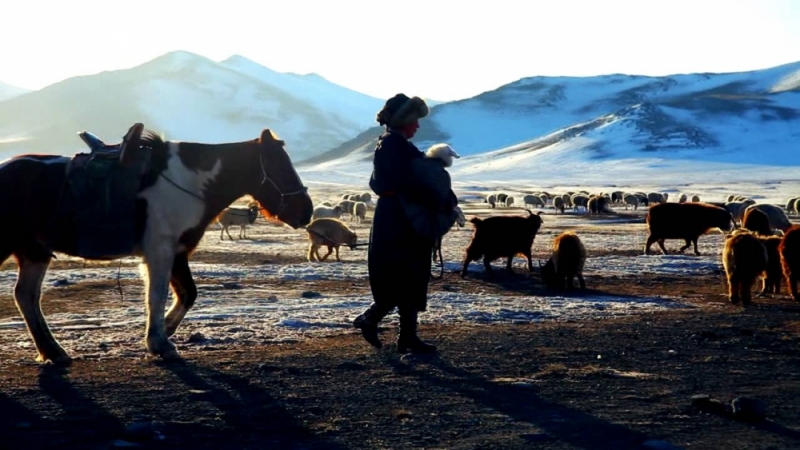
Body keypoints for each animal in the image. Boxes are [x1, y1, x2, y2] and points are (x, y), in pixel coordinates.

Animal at [0, 125, 312, 364]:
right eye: (280, 167)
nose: (306, 211)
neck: (189, 181)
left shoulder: (178, 252)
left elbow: (187, 293)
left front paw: (164, 334)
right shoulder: (160, 250)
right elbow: (158, 295)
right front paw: (160, 341)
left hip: (35, 252)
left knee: (26, 296)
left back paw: (54, 352)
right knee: (26, 296)